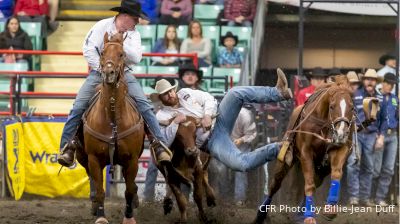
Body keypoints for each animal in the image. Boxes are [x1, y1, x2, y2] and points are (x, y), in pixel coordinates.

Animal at [74, 32, 145, 224]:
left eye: (122, 54)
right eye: (102, 52)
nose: (108, 73)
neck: (113, 119)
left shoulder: (133, 159)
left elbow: (129, 190)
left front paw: (129, 217)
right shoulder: (94, 158)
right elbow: (99, 190)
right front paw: (101, 217)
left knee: (130, 185)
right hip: (82, 156)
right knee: (91, 180)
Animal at [255, 75, 354, 224]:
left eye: (352, 108)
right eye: (332, 107)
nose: (341, 133)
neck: (324, 123)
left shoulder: (341, 148)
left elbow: (336, 174)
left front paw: (330, 210)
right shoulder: (305, 153)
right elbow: (308, 184)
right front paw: (309, 217)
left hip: (321, 170)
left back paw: (299, 214)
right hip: (285, 161)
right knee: (275, 184)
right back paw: (261, 215)